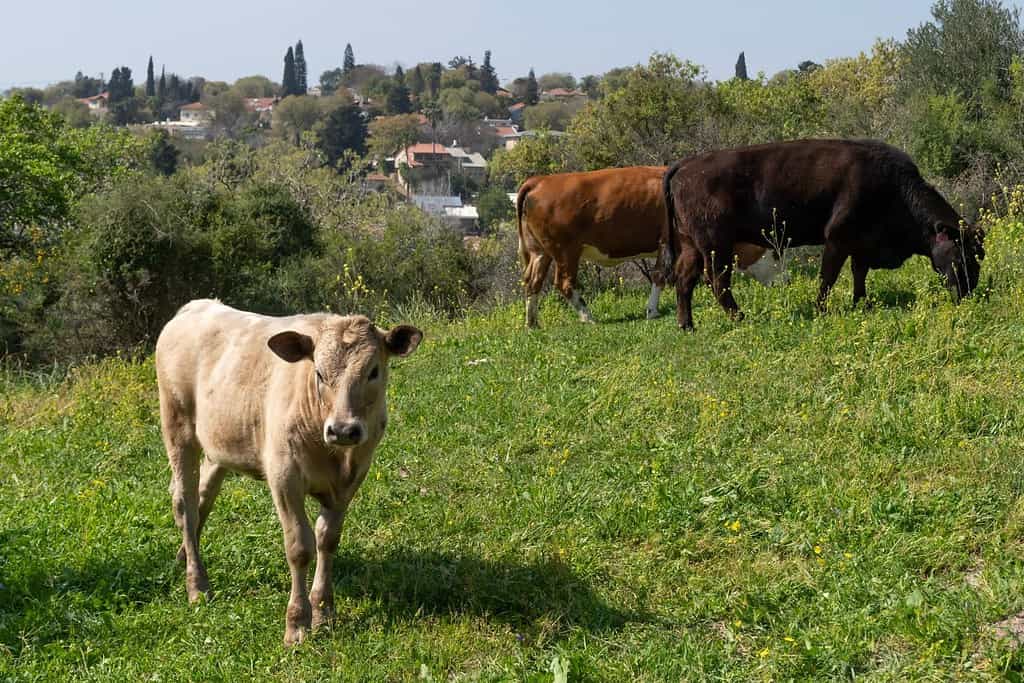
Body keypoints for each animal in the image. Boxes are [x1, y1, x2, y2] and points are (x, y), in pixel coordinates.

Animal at [152, 301, 423, 647]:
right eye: (319, 373)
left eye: (373, 371)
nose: (343, 429)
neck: (336, 453)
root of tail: (195, 306)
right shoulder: (285, 477)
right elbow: (300, 547)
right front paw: (297, 623)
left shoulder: (351, 480)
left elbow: (327, 540)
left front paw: (324, 611)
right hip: (177, 427)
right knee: (185, 503)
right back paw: (197, 585)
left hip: (219, 445)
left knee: (201, 500)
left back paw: (183, 557)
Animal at [516, 164, 786, 325]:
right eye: (774, 253)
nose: (786, 280)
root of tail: (540, 181)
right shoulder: (672, 242)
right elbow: (663, 275)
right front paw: (654, 311)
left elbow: (659, 275)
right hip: (566, 252)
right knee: (563, 283)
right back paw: (587, 316)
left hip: (540, 252)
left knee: (532, 282)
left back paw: (532, 323)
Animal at [659, 137, 987, 329]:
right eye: (962, 253)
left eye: (977, 254)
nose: (968, 290)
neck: (893, 188)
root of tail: (685, 164)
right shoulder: (838, 239)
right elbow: (828, 277)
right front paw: (822, 309)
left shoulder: (860, 243)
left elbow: (859, 273)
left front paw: (861, 303)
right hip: (717, 246)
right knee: (717, 281)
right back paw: (741, 318)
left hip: (692, 246)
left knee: (685, 281)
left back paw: (687, 325)